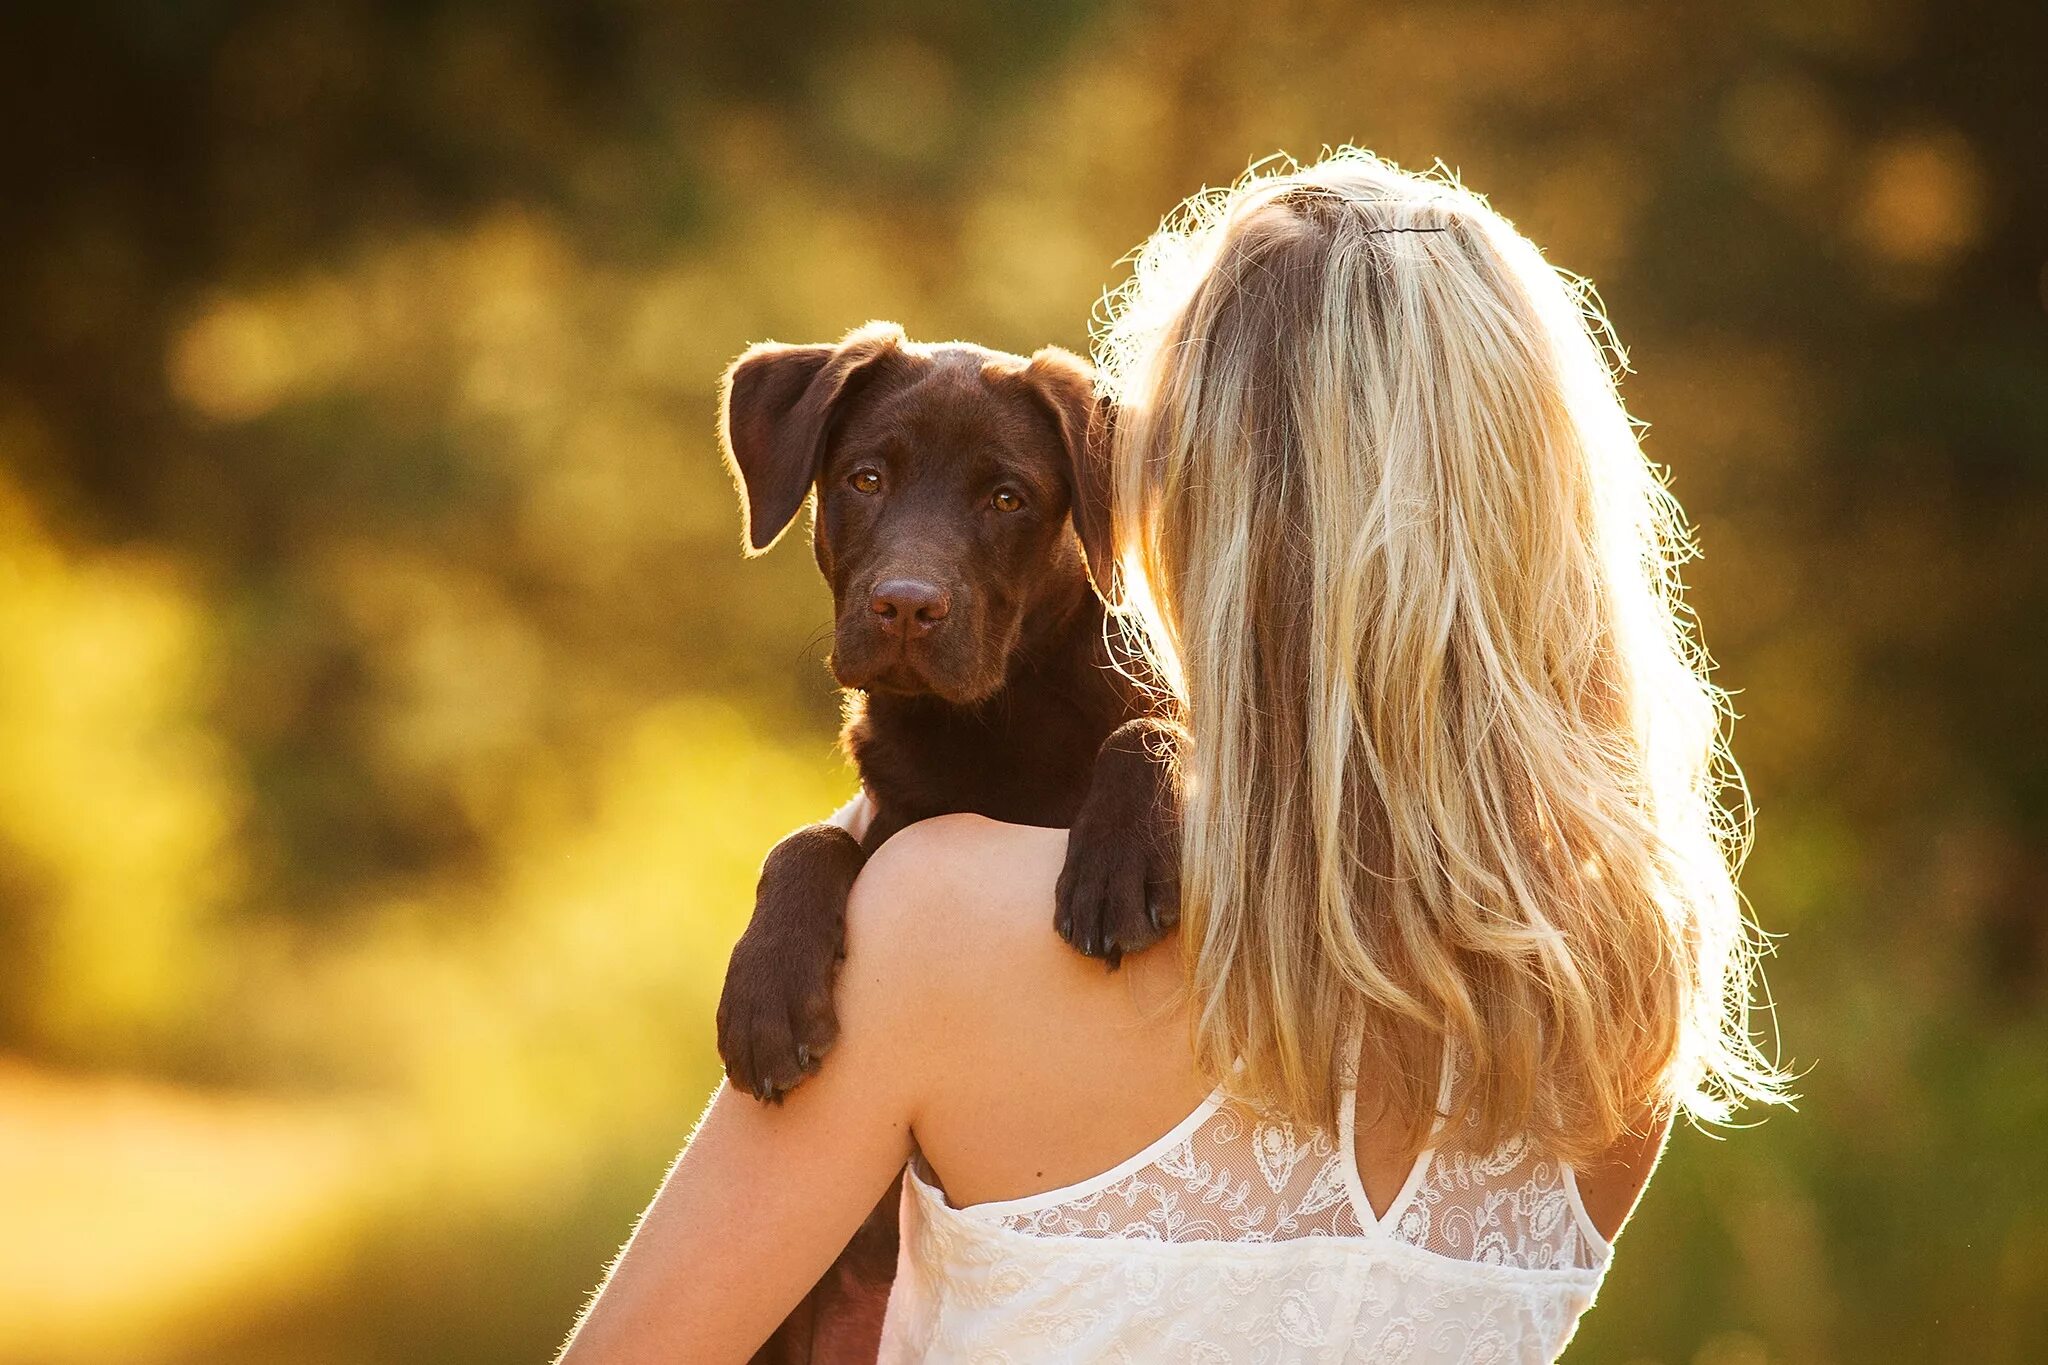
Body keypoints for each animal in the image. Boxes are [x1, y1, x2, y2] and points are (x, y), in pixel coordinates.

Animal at [716, 323, 1187, 1365]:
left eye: (1007, 498)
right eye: (865, 479)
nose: (905, 605)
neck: (987, 727)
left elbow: (1152, 728)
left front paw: (1116, 867)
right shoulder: (895, 821)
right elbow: (808, 839)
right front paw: (765, 996)